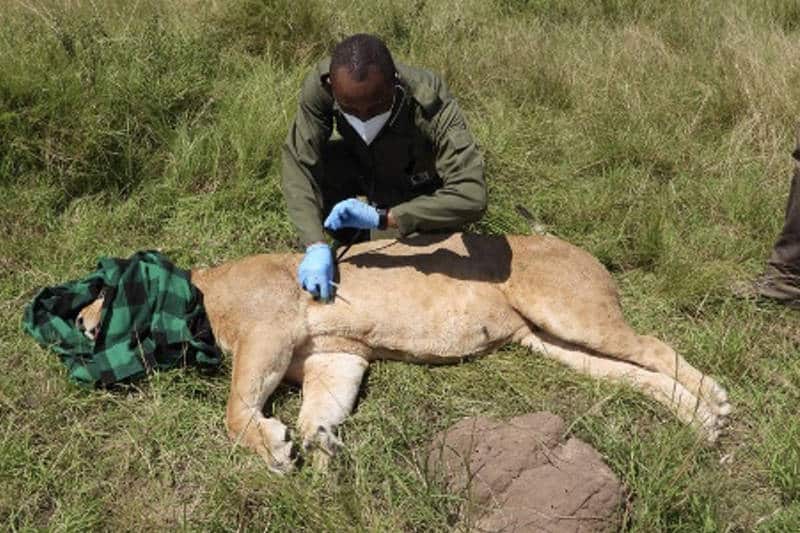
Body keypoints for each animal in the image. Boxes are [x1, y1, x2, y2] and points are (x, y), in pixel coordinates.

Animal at [77, 233, 730, 473]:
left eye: (99, 296)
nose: (80, 324)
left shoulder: (270, 331)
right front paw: (320, 445)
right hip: (554, 343)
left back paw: (717, 404)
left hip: (566, 310)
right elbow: (320, 408)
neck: (197, 296)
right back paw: (699, 421)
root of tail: (575, 245)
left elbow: (236, 410)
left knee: (656, 346)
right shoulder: (334, 356)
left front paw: (275, 448)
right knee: (632, 374)